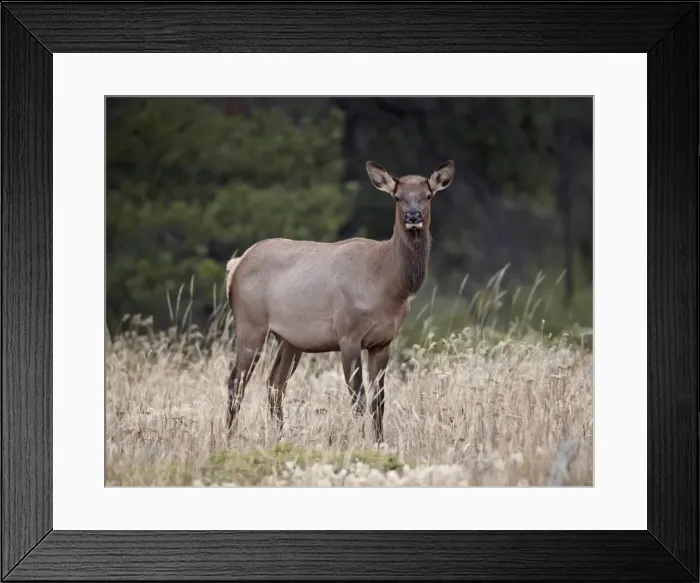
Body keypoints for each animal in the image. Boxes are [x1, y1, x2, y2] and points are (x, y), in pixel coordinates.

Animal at [224, 159, 455, 444]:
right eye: (397, 197)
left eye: (428, 195)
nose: (413, 216)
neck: (387, 282)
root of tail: (235, 265)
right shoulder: (348, 335)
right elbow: (358, 399)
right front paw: (360, 441)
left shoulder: (383, 341)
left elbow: (379, 401)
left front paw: (380, 442)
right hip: (251, 324)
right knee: (236, 382)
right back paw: (229, 438)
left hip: (289, 339)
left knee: (275, 383)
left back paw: (278, 437)